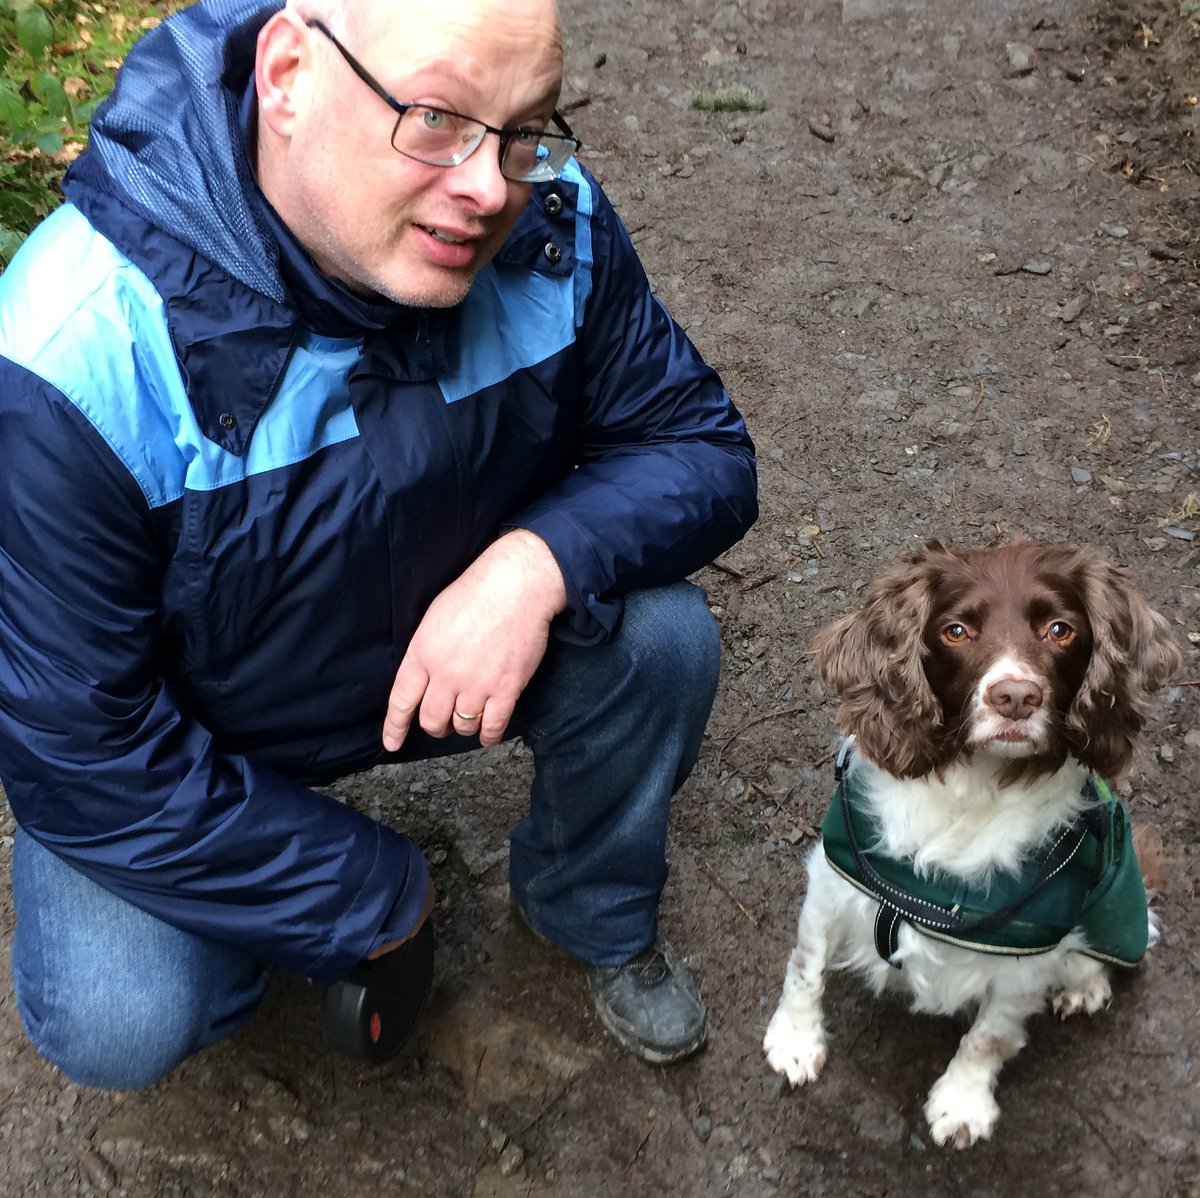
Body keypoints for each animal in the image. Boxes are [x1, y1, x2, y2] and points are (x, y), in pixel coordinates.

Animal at [763, 544, 1176, 1152]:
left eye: (1061, 630)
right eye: (955, 631)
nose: (1016, 697)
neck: (971, 790)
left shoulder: (1029, 950)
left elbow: (990, 1036)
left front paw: (961, 1104)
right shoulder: (834, 880)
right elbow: (806, 964)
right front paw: (794, 1041)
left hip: (1115, 904)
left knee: (1126, 937)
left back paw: (1085, 984)